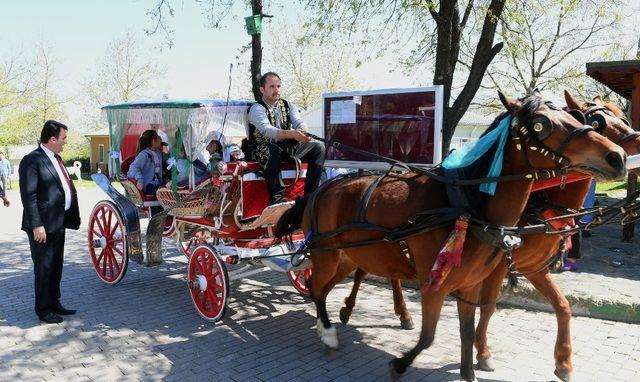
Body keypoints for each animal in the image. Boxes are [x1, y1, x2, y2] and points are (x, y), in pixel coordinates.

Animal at [276, 92, 624, 382]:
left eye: (575, 118)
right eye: (541, 124)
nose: (617, 156)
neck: (467, 205)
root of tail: (322, 188)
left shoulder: (470, 283)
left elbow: (468, 331)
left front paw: (471, 369)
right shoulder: (436, 284)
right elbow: (429, 336)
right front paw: (400, 364)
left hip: (350, 256)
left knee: (325, 288)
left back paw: (336, 319)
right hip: (327, 253)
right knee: (318, 289)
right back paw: (328, 331)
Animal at [472, 90, 640, 382]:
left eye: (623, 118)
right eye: (596, 122)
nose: (619, 156)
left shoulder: (534, 266)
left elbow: (563, 306)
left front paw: (564, 361)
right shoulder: (499, 264)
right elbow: (488, 304)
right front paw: (483, 352)